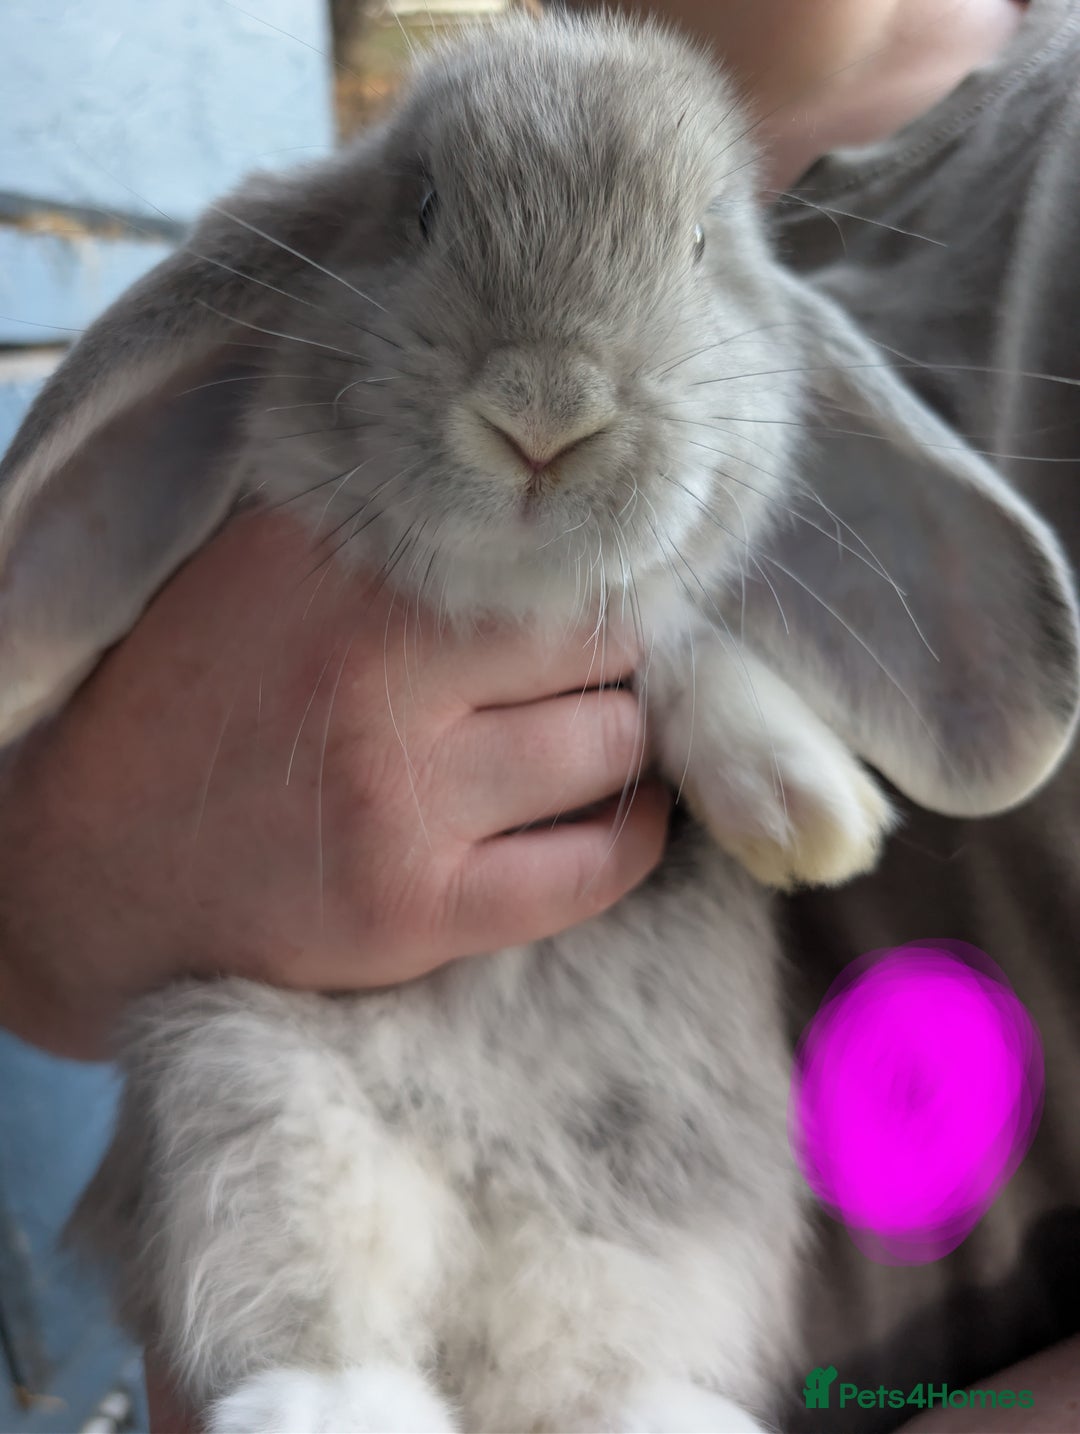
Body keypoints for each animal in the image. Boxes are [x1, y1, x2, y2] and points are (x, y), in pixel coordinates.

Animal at [1, 11, 1078, 1433]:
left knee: (606, 1376)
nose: (546, 414)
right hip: (253, 1103)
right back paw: (332, 1408)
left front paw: (804, 805)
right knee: (317, 1314)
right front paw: (810, 805)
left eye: (699, 247)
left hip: (657, 1227)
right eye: (418, 210)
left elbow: (682, 636)